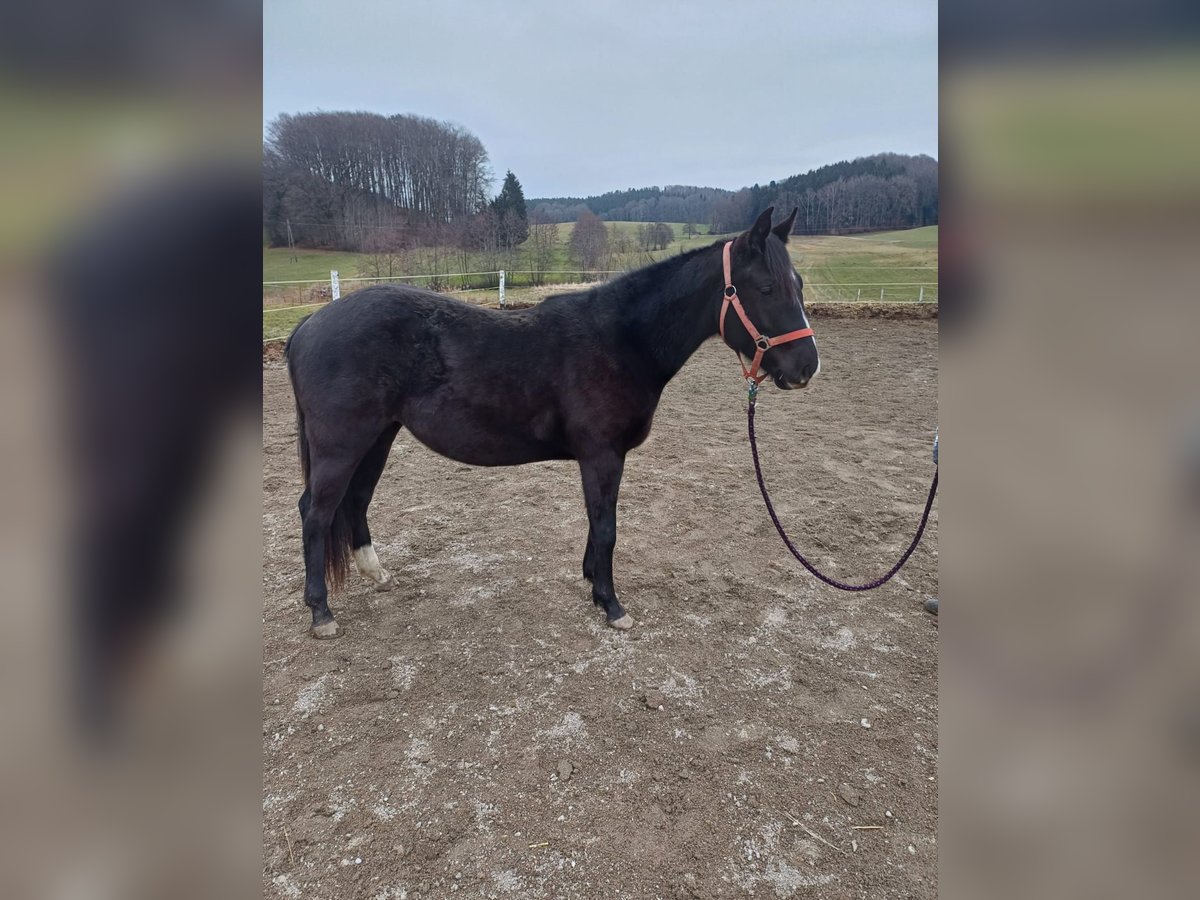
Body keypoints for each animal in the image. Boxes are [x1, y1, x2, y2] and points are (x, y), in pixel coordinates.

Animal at [285, 207, 820, 638]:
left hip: (377, 436)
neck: (620, 340)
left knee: (355, 501)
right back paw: (322, 614)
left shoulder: (602, 458)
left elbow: (598, 524)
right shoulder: (601, 455)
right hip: (342, 444)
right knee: (315, 512)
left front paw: (592, 581)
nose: (806, 367)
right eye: (766, 287)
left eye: (797, 284)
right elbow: (606, 526)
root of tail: (309, 325)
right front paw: (611, 604)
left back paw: (376, 574)